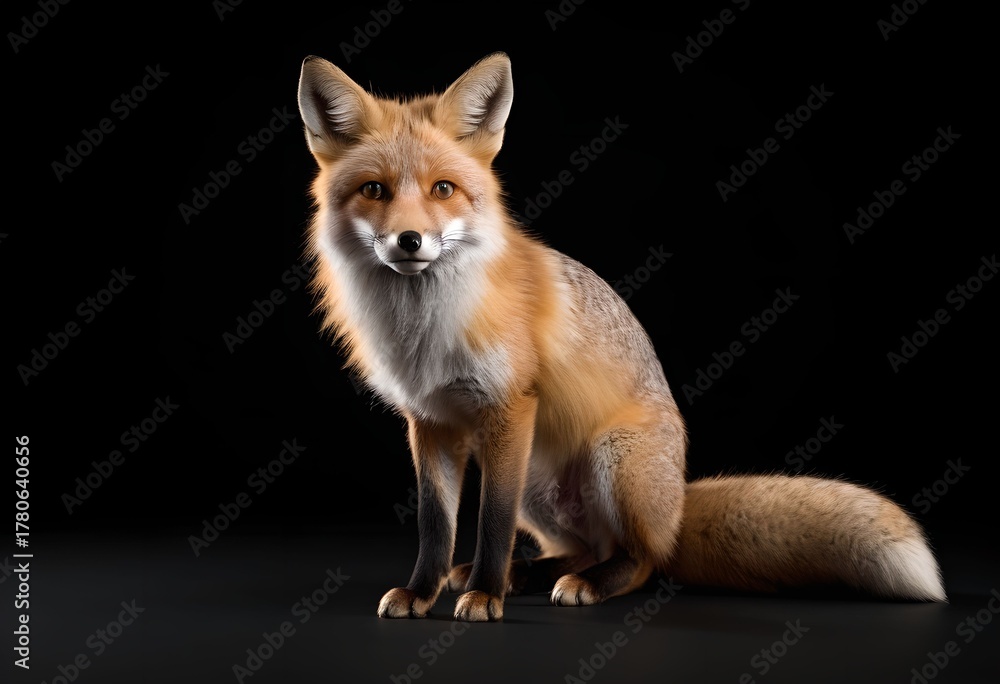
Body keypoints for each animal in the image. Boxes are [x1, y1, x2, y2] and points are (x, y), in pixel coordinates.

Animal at [295, 52, 946, 622]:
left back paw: (577, 583)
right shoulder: (431, 422)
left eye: (443, 190)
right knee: (582, 550)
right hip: (540, 485)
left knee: (640, 562)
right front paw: (424, 591)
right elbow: (438, 527)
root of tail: (677, 507)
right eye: (375, 190)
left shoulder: (509, 409)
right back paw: (531, 574)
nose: (409, 241)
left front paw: (483, 597)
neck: (425, 327)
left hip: (610, 461)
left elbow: (491, 524)